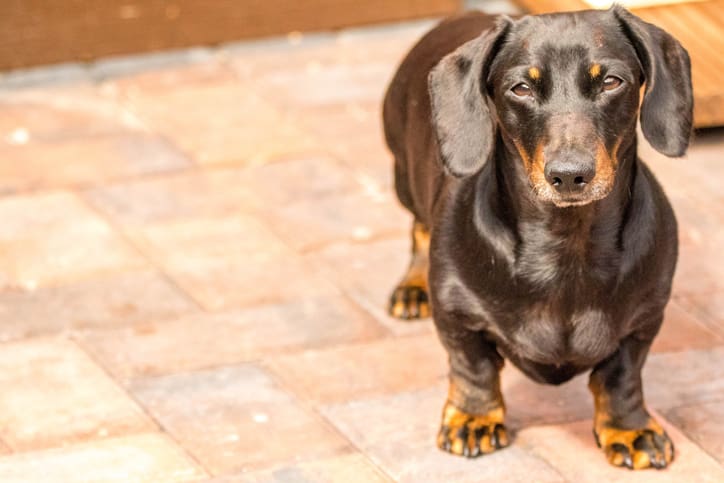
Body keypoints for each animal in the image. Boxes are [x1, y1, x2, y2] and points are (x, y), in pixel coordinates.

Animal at [382, 5, 692, 470]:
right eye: (522, 87)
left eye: (611, 81)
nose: (569, 175)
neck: (566, 245)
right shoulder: (457, 316)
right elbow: (472, 368)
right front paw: (474, 417)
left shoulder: (643, 321)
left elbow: (621, 377)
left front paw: (630, 427)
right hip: (403, 175)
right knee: (419, 227)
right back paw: (413, 286)